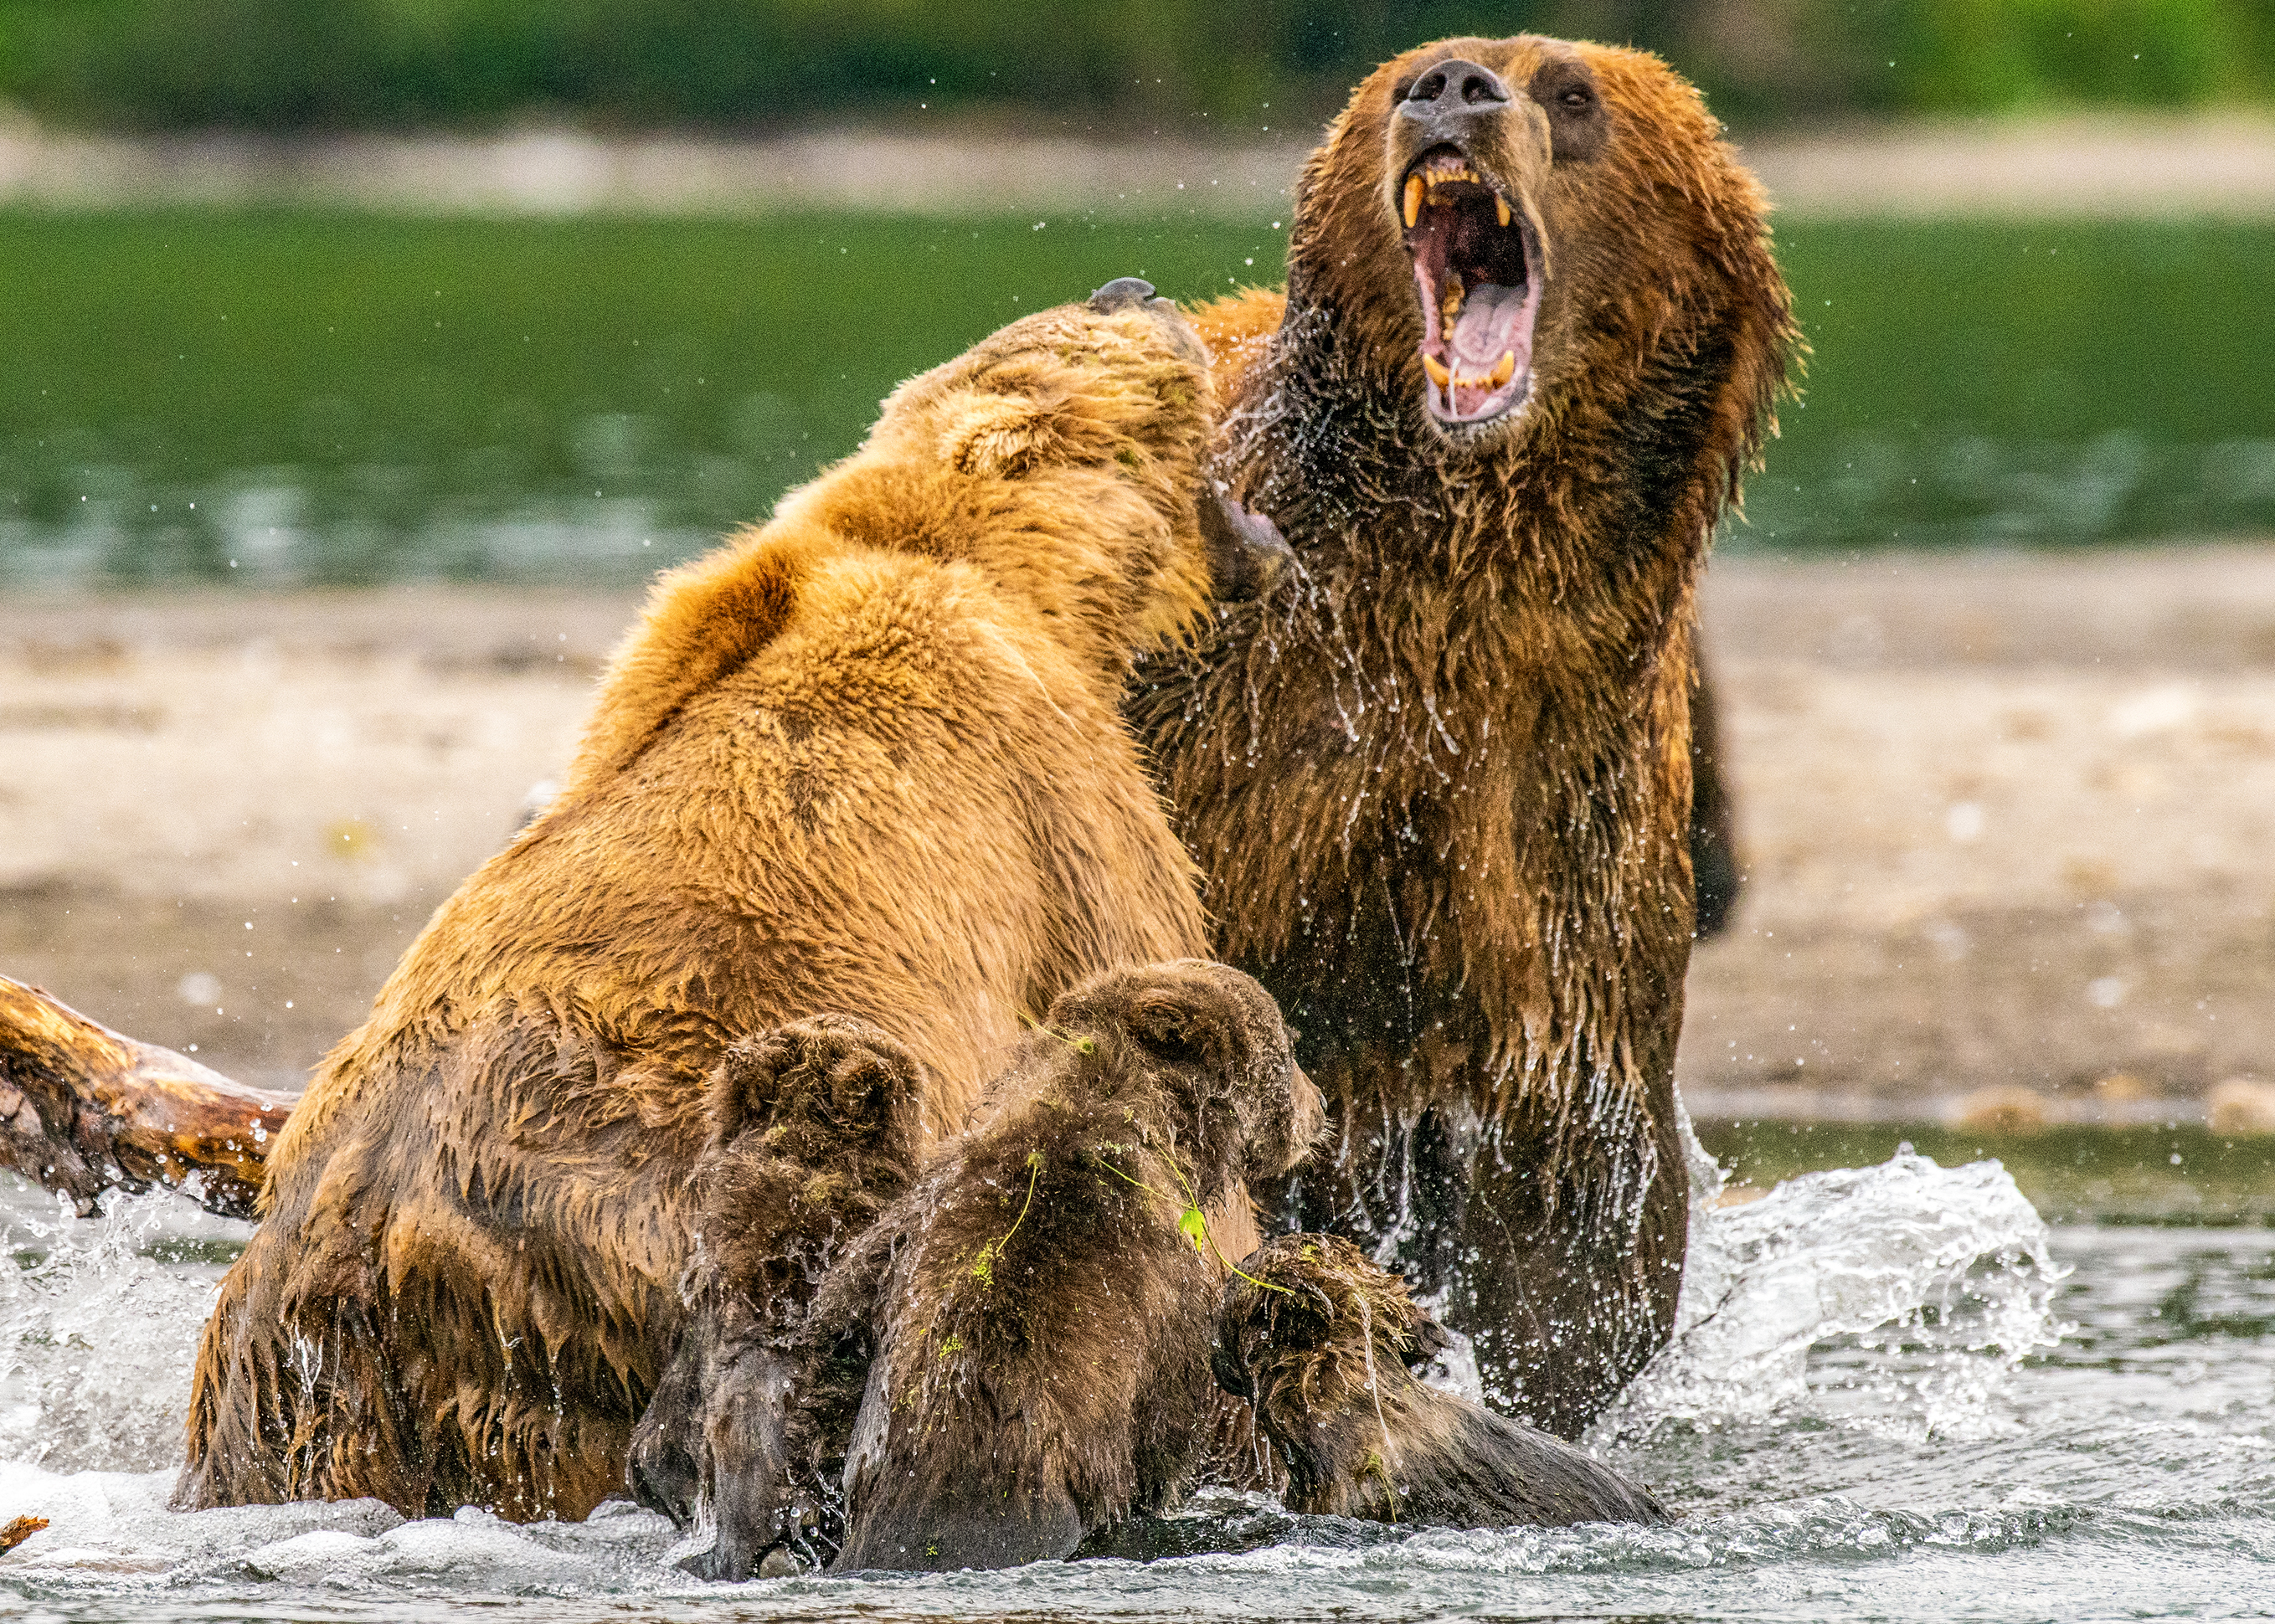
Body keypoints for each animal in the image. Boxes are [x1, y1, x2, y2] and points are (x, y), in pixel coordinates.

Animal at [172, 278, 1246, 1519]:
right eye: (1072, 342)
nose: (1135, 290)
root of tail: (367, 1254)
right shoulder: (1065, 807)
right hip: (612, 1267)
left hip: (287, 1395)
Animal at [1133, 34, 1792, 1428]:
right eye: (1401, 83)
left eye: (1574, 93)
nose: (1451, 86)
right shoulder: (1243, 720)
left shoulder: (1558, 825)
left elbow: (1571, 1236)